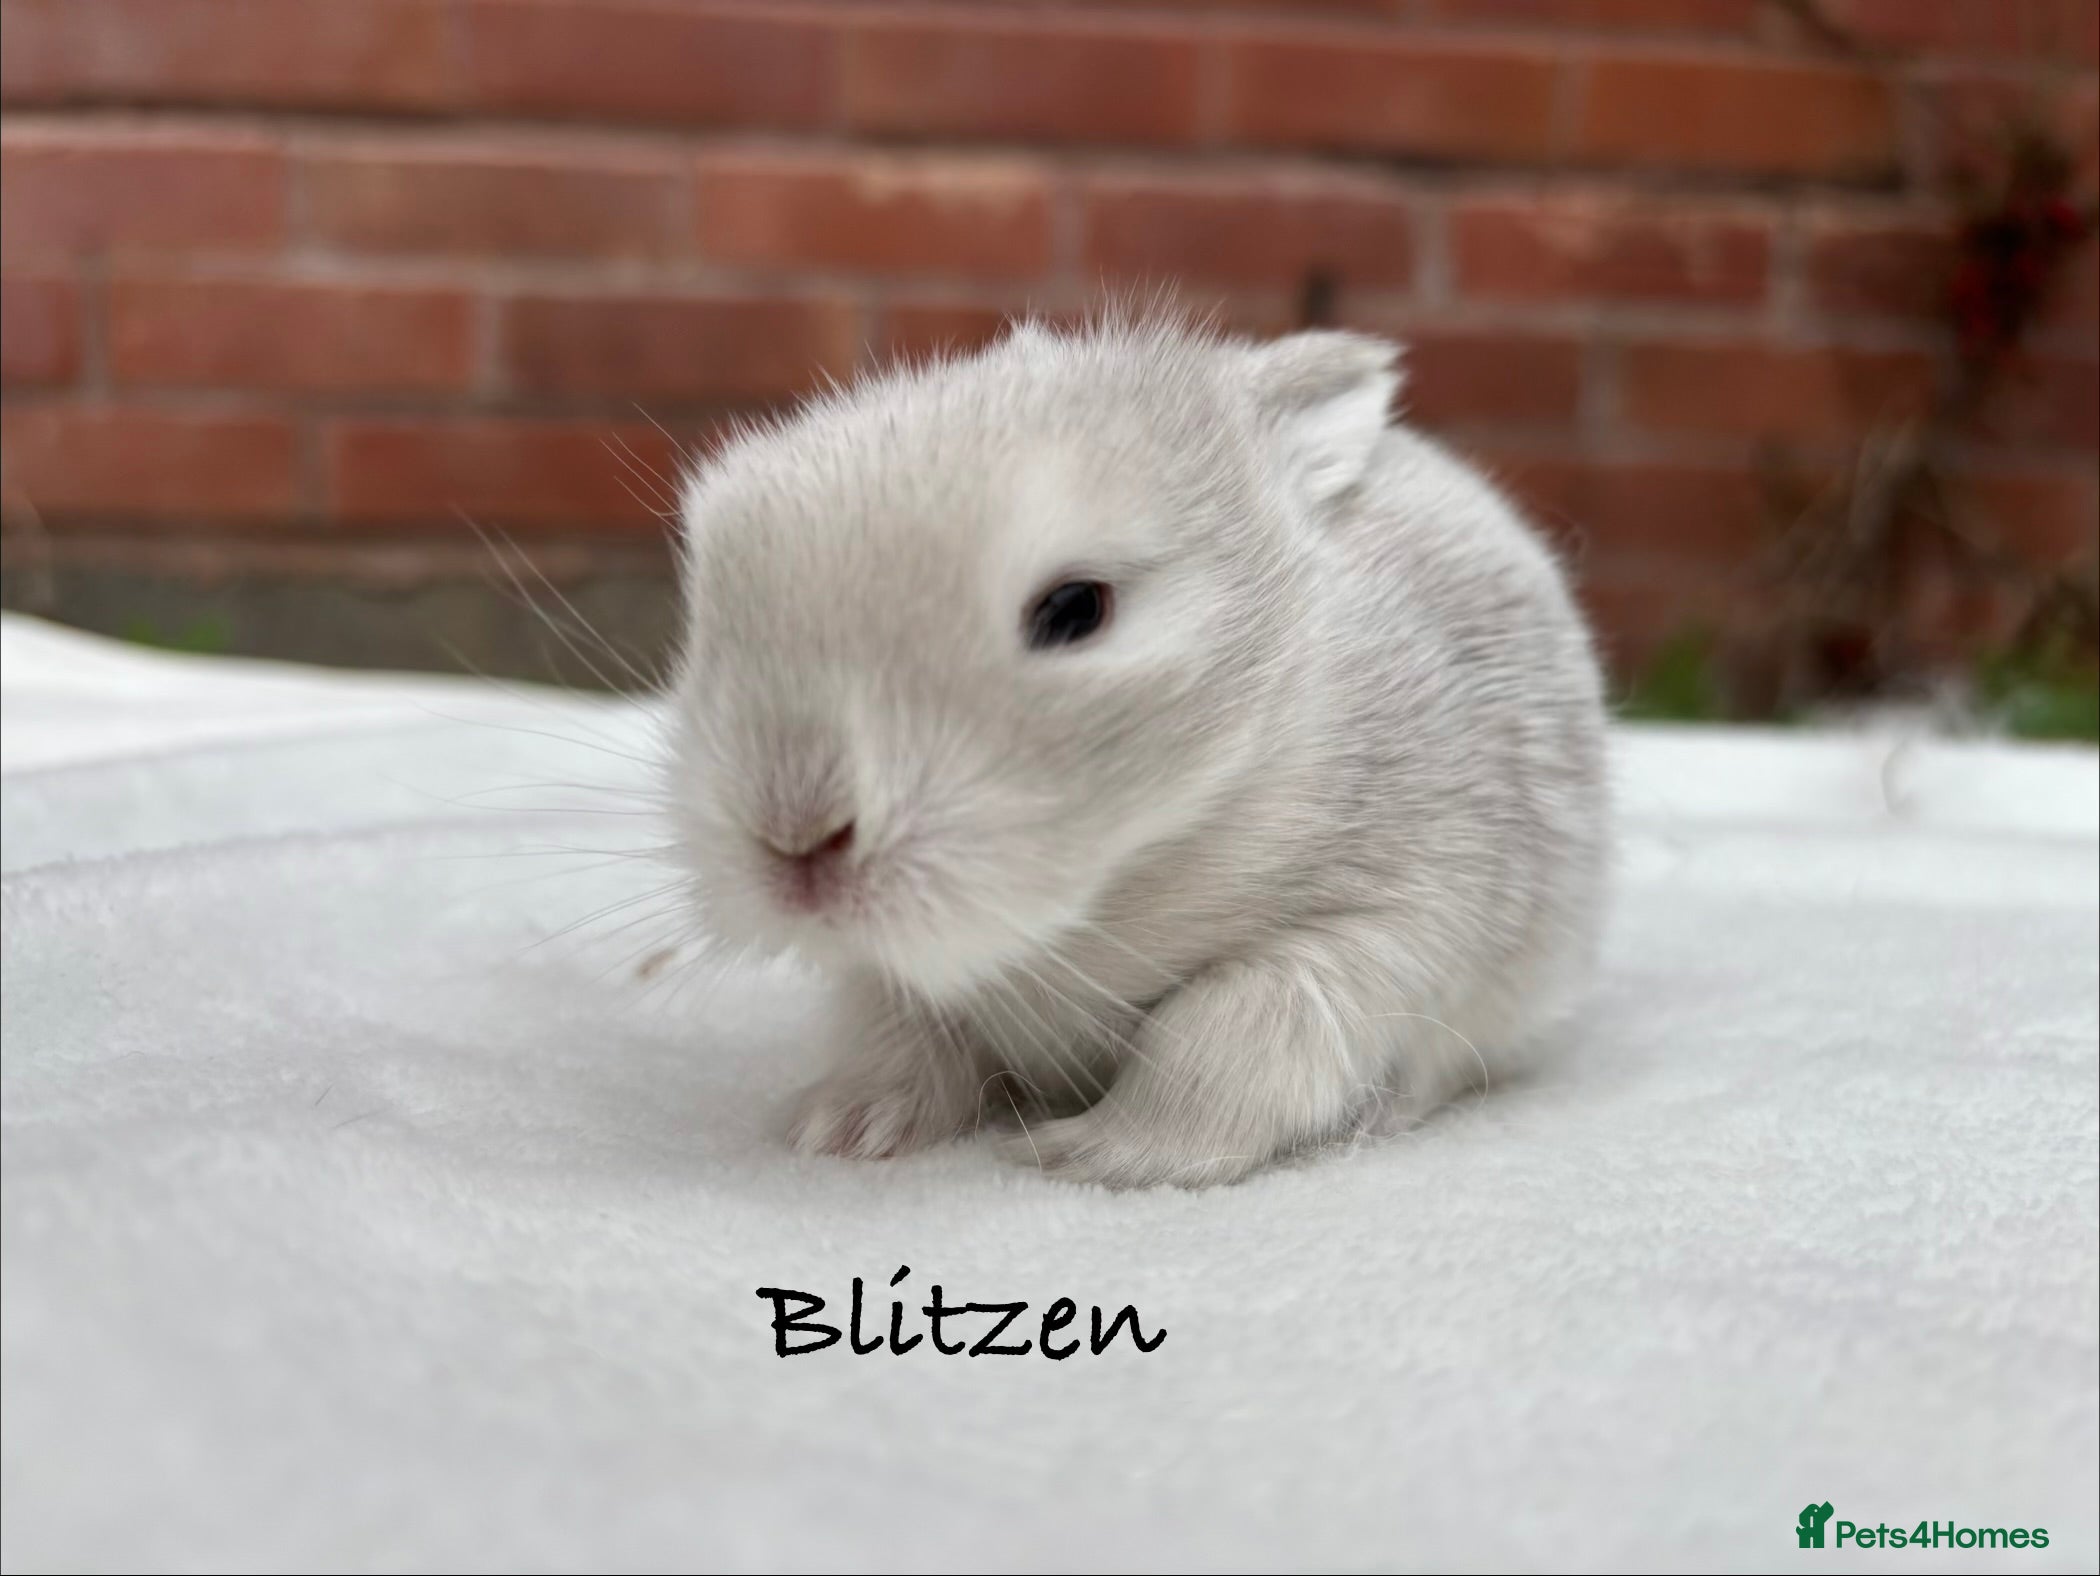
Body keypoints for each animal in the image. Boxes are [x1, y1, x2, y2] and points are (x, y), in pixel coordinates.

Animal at [664, 311, 1608, 1189]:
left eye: (1075, 609)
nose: (794, 838)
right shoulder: (889, 983)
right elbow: (899, 1036)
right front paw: (845, 1128)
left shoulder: (1388, 918)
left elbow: (1217, 1035)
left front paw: (1087, 1154)